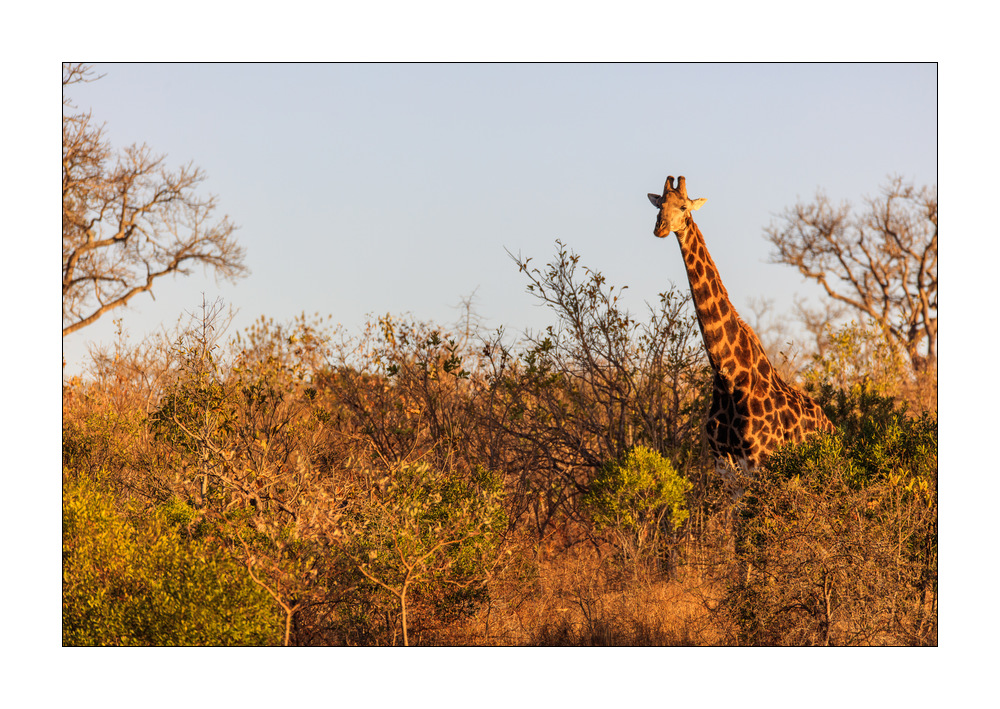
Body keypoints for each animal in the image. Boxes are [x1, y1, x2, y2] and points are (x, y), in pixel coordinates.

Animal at [647, 175, 834, 473]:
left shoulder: (760, 461)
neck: (729, 378)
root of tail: (833, 427)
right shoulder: (723, 464)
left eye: (684, 206)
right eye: (660, 205)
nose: (661, 228)